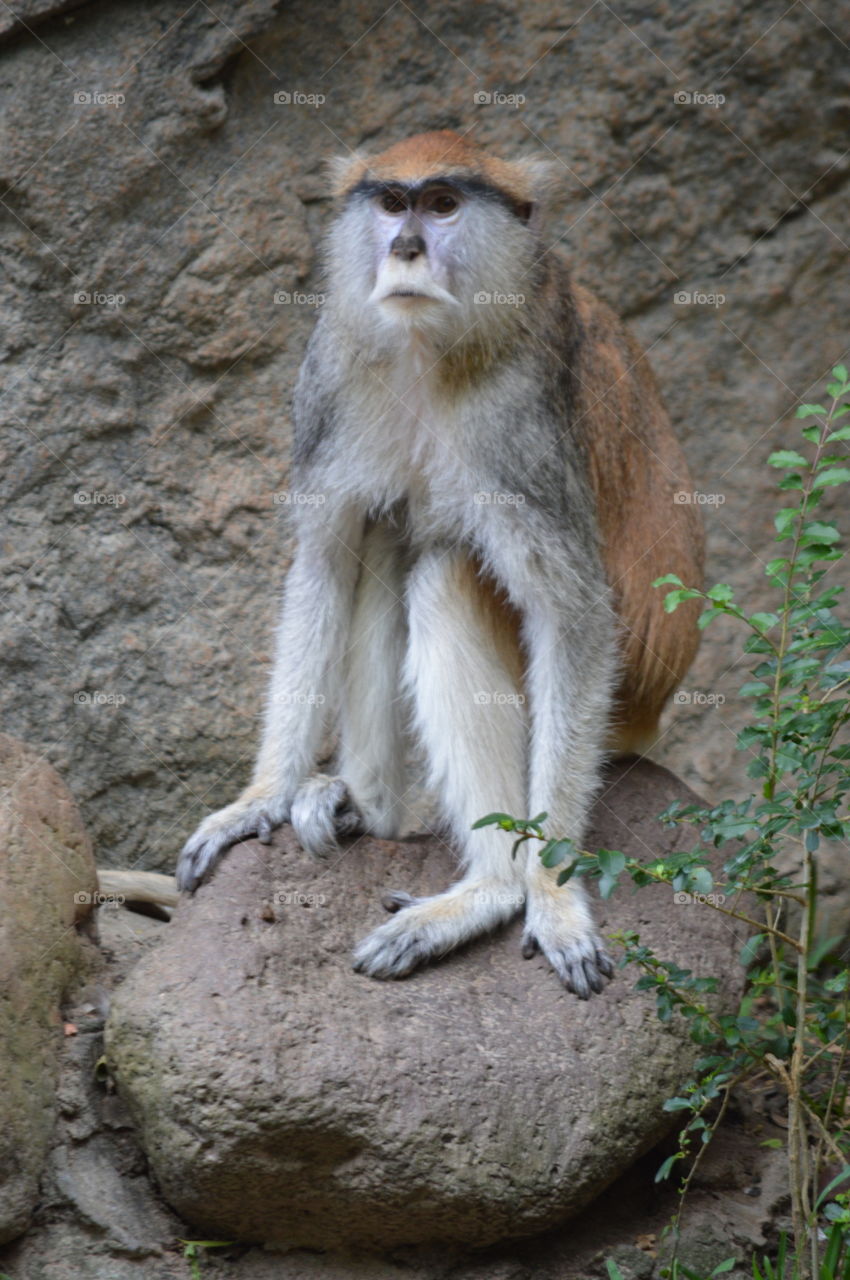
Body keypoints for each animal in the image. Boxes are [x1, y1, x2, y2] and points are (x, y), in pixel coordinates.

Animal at [176, 130, 704, 1000]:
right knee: (391, 535)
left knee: (449, 570)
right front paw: (259, 798)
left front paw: (549, 894)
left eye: (445, 204)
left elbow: (572, 616)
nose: (406, 249)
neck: (430, 349)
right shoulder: (331, 373)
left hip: (622, 697)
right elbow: (325, 561)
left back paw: (488, 890)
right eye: (393, 202)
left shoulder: (517, 422)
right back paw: (363, 807)